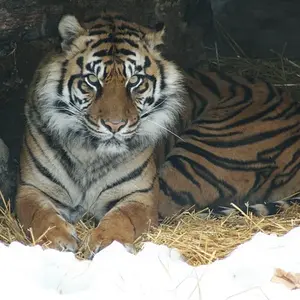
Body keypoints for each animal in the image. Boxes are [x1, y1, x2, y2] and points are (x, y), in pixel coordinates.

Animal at [15, 12, 300, 255]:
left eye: (135, 82)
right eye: (92, 81)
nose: (115, 125)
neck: (90, 154)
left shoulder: (141, 195)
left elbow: (122, 218)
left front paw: (108, 244)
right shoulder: (31, 189)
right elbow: (40, 215)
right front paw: (58, 240)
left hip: (200, 155)